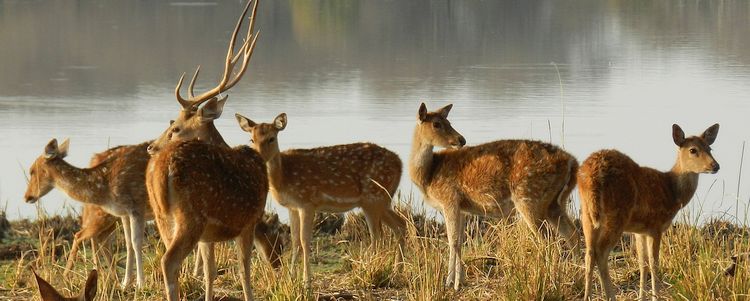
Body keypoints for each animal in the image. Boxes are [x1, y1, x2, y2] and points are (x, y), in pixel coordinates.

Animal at [24, 139, 153, 288]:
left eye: (32, 171)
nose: (26, 196)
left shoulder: (136, 205)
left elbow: (136, 243)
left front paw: (140, 284)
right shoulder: (125, 213)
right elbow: (129, 243)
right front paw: (126, 283)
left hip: (102, 216)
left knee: (87, 236)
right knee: (92, 236)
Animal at [145, 0, 272, 298]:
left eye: (175, 127)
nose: (150, 147)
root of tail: (161, 170)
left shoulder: (210, 236)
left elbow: (209, 271)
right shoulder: (249, 219)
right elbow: (244, 270)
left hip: (163, 217)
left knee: (170, 260)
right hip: (191, 216)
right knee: (169, 261)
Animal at [238, 111, 408, 284]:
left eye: (271, 138)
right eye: (252, 139)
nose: (258, 157)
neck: (283, 177)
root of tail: (400, 164)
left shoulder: (307, 202)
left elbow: (305, 240)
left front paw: (306, 281)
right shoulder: (293, 207)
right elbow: (295, 241)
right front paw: (291, 277)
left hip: (373, 197)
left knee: (377, 236)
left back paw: (370, 270)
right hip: (382, 200)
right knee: (400, 225)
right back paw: (397, 270)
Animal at [408, 102, 580, 288]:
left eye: (448, 122)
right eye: (437, 124)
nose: (461, 140)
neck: (428, 175)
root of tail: (572, 163)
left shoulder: (449, 199)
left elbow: (452, 241)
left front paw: (450, 283)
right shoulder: (461, 208)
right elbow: (460, 241)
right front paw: (460, 280)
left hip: (529, 197)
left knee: (548, 240)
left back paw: (548, 279)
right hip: (555, 202)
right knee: (572, 234)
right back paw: (577, 275)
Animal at [580, 123, 724, 298]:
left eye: (710, 148)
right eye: (693, 150)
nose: (715, 166)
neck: (672, 193)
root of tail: (593, 174)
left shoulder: (639, 230)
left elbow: (643, 264)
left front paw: (641, 297)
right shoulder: (656, 225)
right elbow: (654, 263)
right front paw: (656, 296)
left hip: (587, 213)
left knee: (589, 254)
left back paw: (588, 296)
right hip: (616, 215)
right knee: (601, 253)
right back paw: (610, 296)